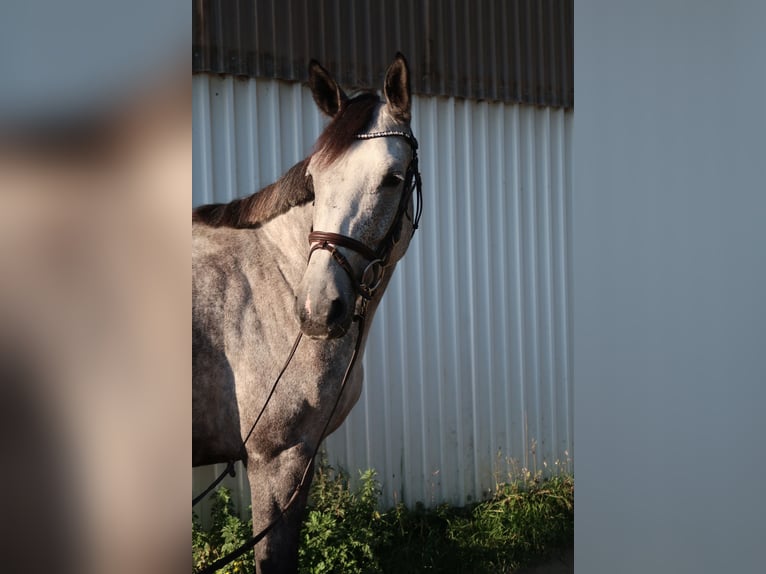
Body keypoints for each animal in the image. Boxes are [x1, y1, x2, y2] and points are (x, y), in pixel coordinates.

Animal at [192, 51, 420, 572]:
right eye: (314, 180)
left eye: (393, 178)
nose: (318, 308)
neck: (273, 275)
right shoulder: (276, 458)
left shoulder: (303, 457)